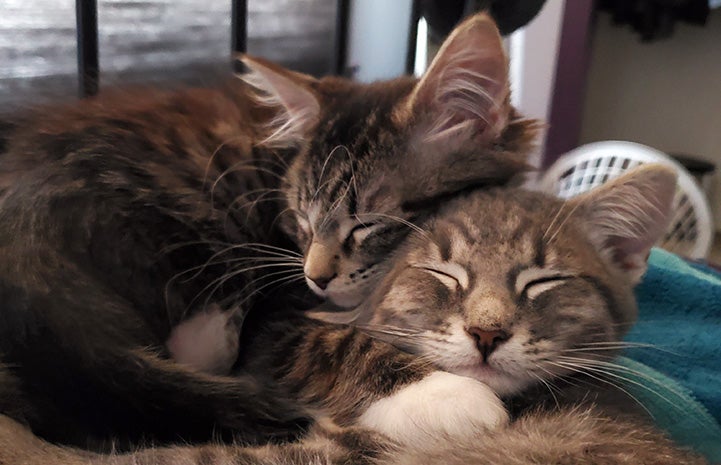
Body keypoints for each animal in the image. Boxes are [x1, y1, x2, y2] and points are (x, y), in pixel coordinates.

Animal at [0, 12, 536, 448]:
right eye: (301, 220)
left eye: (366, 224)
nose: (315, 278)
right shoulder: (277, 310)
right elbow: (333, 342)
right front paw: (445, 395)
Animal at [2, 164, 704, 464]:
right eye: (443, 274)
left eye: (544, 281)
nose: (487, 332)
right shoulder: (290, 312)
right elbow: (328, 342)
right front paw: (445, 397)